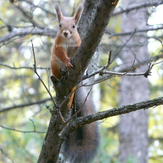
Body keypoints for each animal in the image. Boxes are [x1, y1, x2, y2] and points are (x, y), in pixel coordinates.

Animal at [50, 4, 99, 162]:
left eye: (74, 26)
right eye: (60, 25)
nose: (66, 33)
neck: (68, 40)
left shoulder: (78, 42)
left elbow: (79, 46)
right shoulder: (58, 45)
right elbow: (60, 53)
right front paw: (67, 61)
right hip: (54, 67)